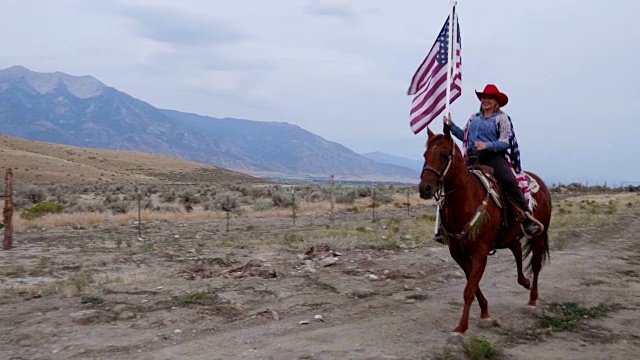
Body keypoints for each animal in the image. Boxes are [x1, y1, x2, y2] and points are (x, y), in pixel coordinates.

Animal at [420, 122, 552, 336]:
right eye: (425, 154)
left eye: (445, 154)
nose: (425, 188)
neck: (466, 200)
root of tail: (539, 181)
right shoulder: (458, 252)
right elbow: (473, 285)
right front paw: (485, 313)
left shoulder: (480, 251)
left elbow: (469, 289)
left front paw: (461, 327)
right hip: (509, 235)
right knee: (517, 250)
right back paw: (523, 281)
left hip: (538, 235)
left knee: (536, 265)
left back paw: (532, 300)